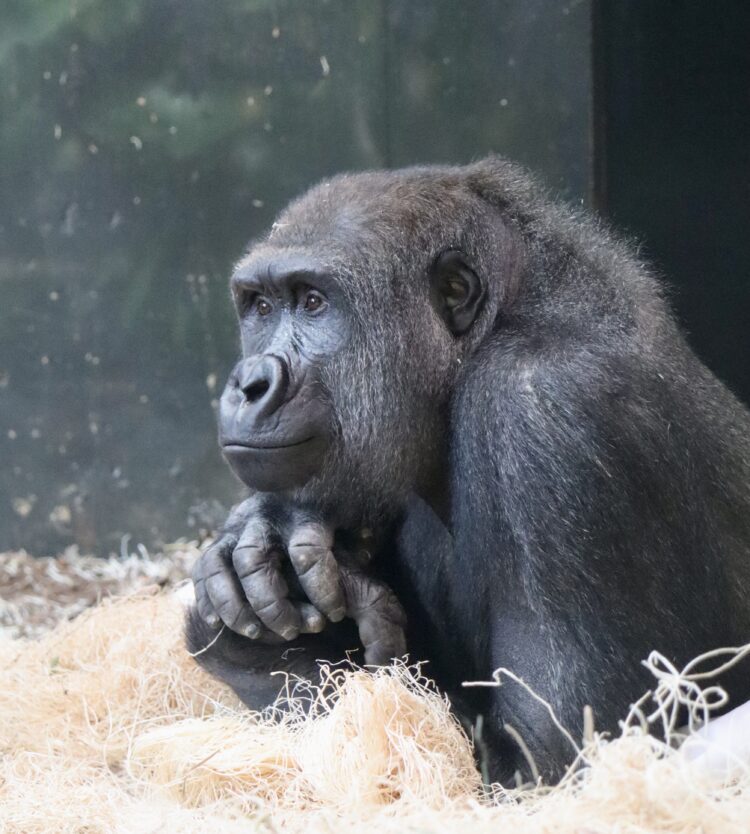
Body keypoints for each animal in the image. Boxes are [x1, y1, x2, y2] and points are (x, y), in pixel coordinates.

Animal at [188, 158, 750, 788]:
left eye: (313, 302)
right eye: (260, 306)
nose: (249, 383)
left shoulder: (545, 412)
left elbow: (549, 756)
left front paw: (249, 646)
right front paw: (263, 536)